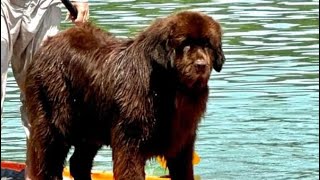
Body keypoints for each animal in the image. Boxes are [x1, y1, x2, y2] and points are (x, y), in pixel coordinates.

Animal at [24, 10, 225, 179]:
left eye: (207, 44)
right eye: (185, 44)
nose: (201, 65)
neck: (166, 87)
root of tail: (47, 45)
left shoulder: (182, 142)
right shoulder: (130, 139)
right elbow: (130, 171)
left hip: (91, 125)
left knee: (78, 163)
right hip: (55, 117)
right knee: (47, 160)